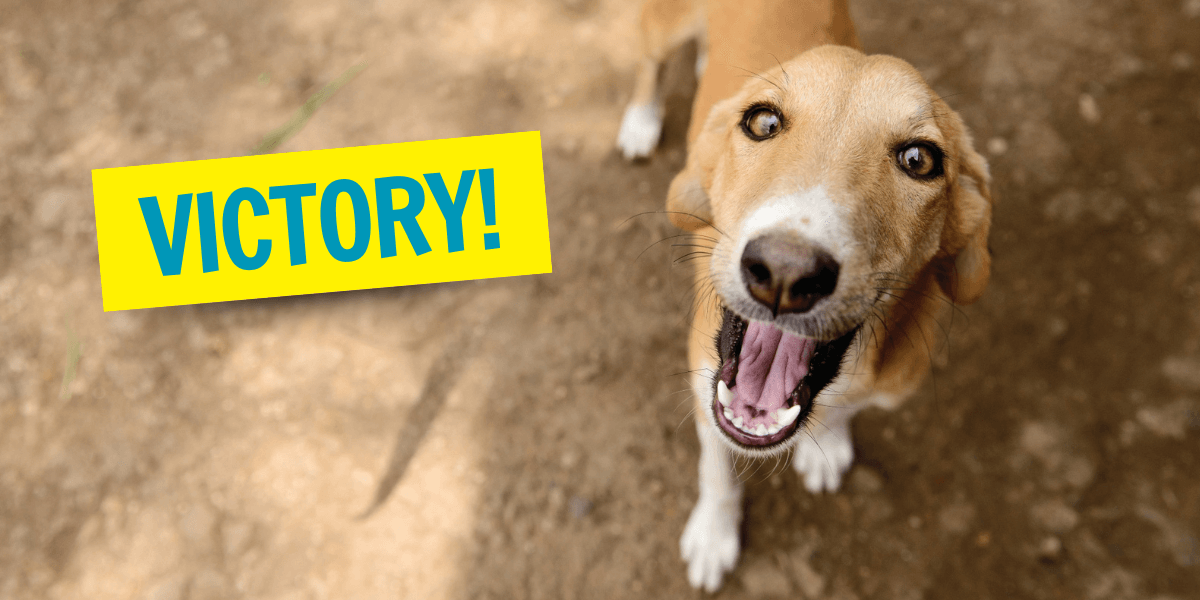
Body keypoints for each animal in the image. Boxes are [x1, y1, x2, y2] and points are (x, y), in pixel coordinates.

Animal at [619, 0, 993, 590]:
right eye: (763, 123)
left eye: (919, 160)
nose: (785, 274)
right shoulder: (702, 378)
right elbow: (717, 470)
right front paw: (713, 535)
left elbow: (843, 414)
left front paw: (828, 446)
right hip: (662, 27)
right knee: (650, 63)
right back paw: (640, 120)